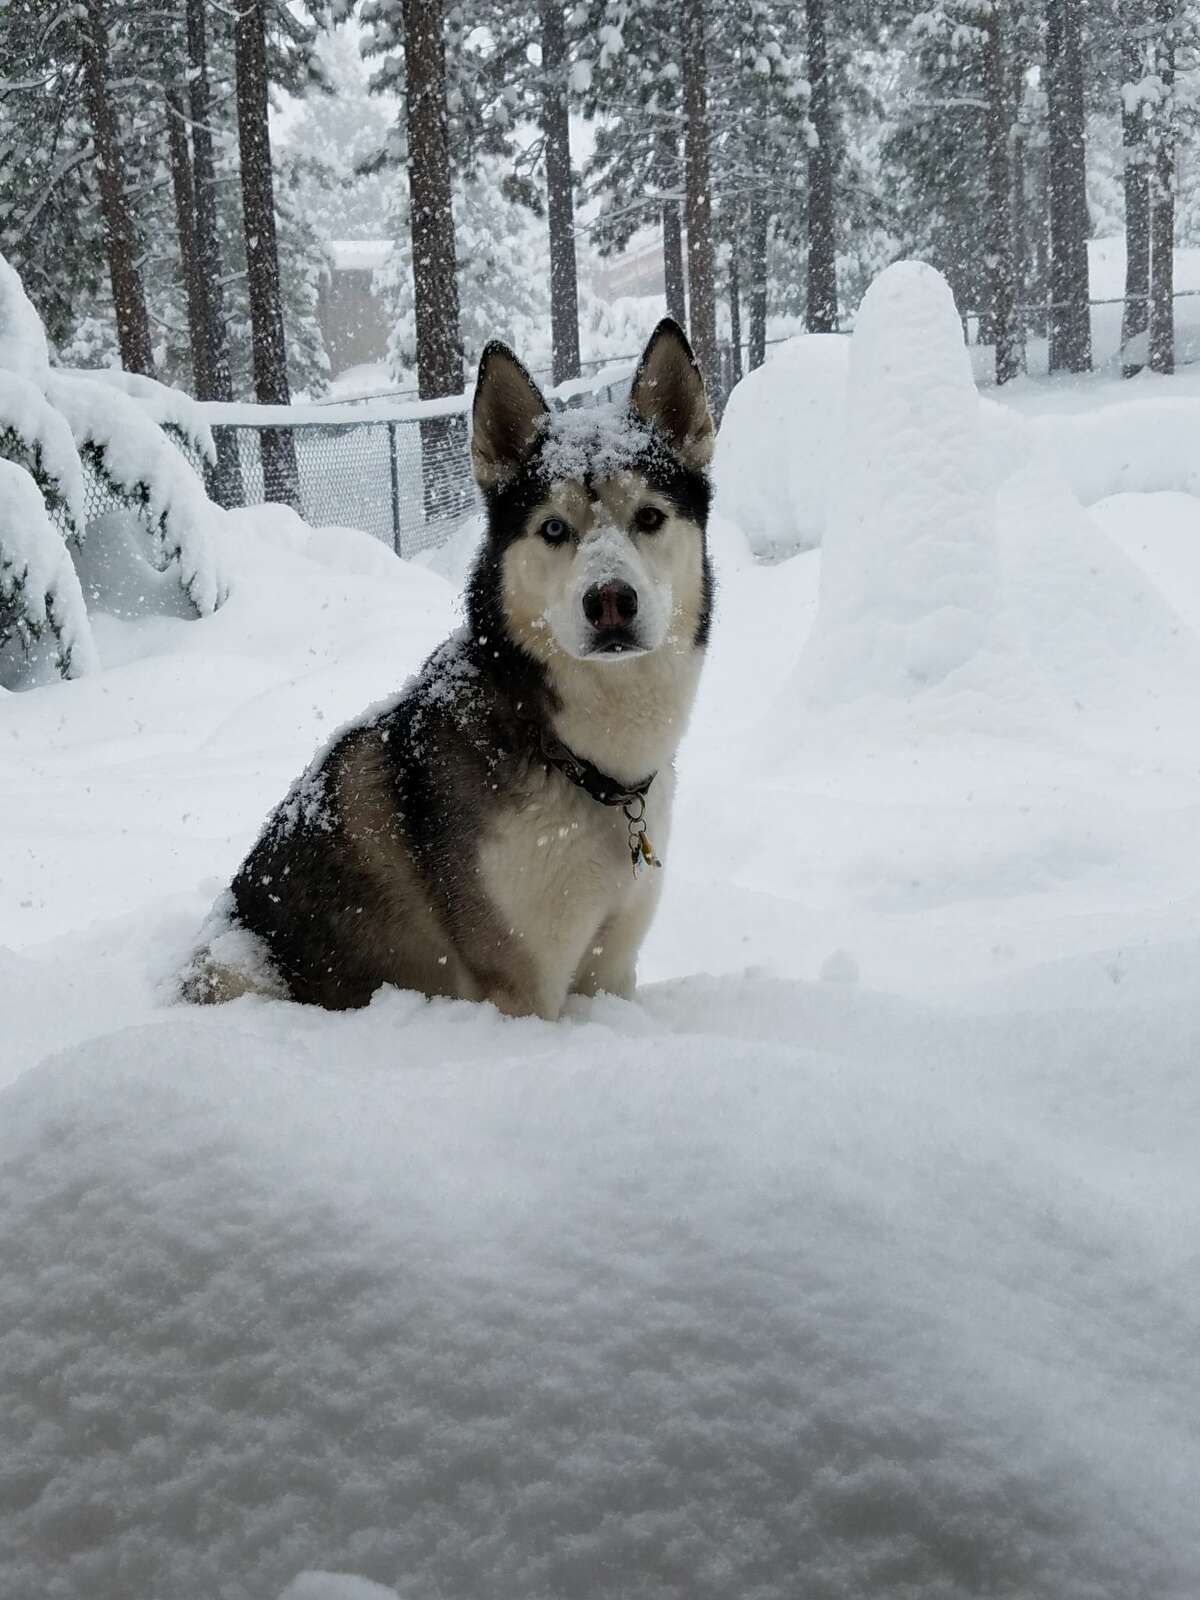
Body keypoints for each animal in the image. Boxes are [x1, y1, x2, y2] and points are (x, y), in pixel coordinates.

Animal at [180, 320, 713, 1017]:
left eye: (649, 516)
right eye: (553, 529)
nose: (610, 601)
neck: (573, 758)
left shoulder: (613, 967)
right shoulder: (521, 982)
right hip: (234, 968)